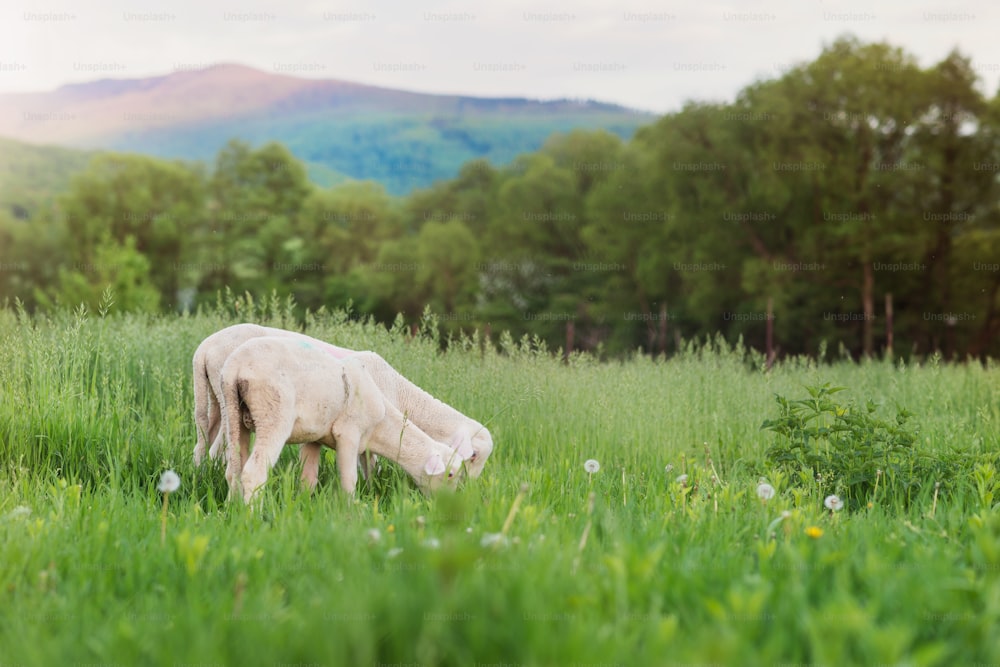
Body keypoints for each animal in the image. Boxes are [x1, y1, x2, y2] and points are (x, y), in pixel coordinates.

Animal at [221, 336, 466, 504]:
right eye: (450, 474)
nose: (448, 505)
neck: (382, 425)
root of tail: (236, 365)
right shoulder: (349, 433)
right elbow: (349, 480)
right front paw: (350, 512)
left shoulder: (315, 437)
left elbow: (308, 479)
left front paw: (304, 506)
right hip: (273, 413)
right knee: (254, 472)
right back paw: (253, 516)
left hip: (233, 414)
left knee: (233, 470)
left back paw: (233, 510)